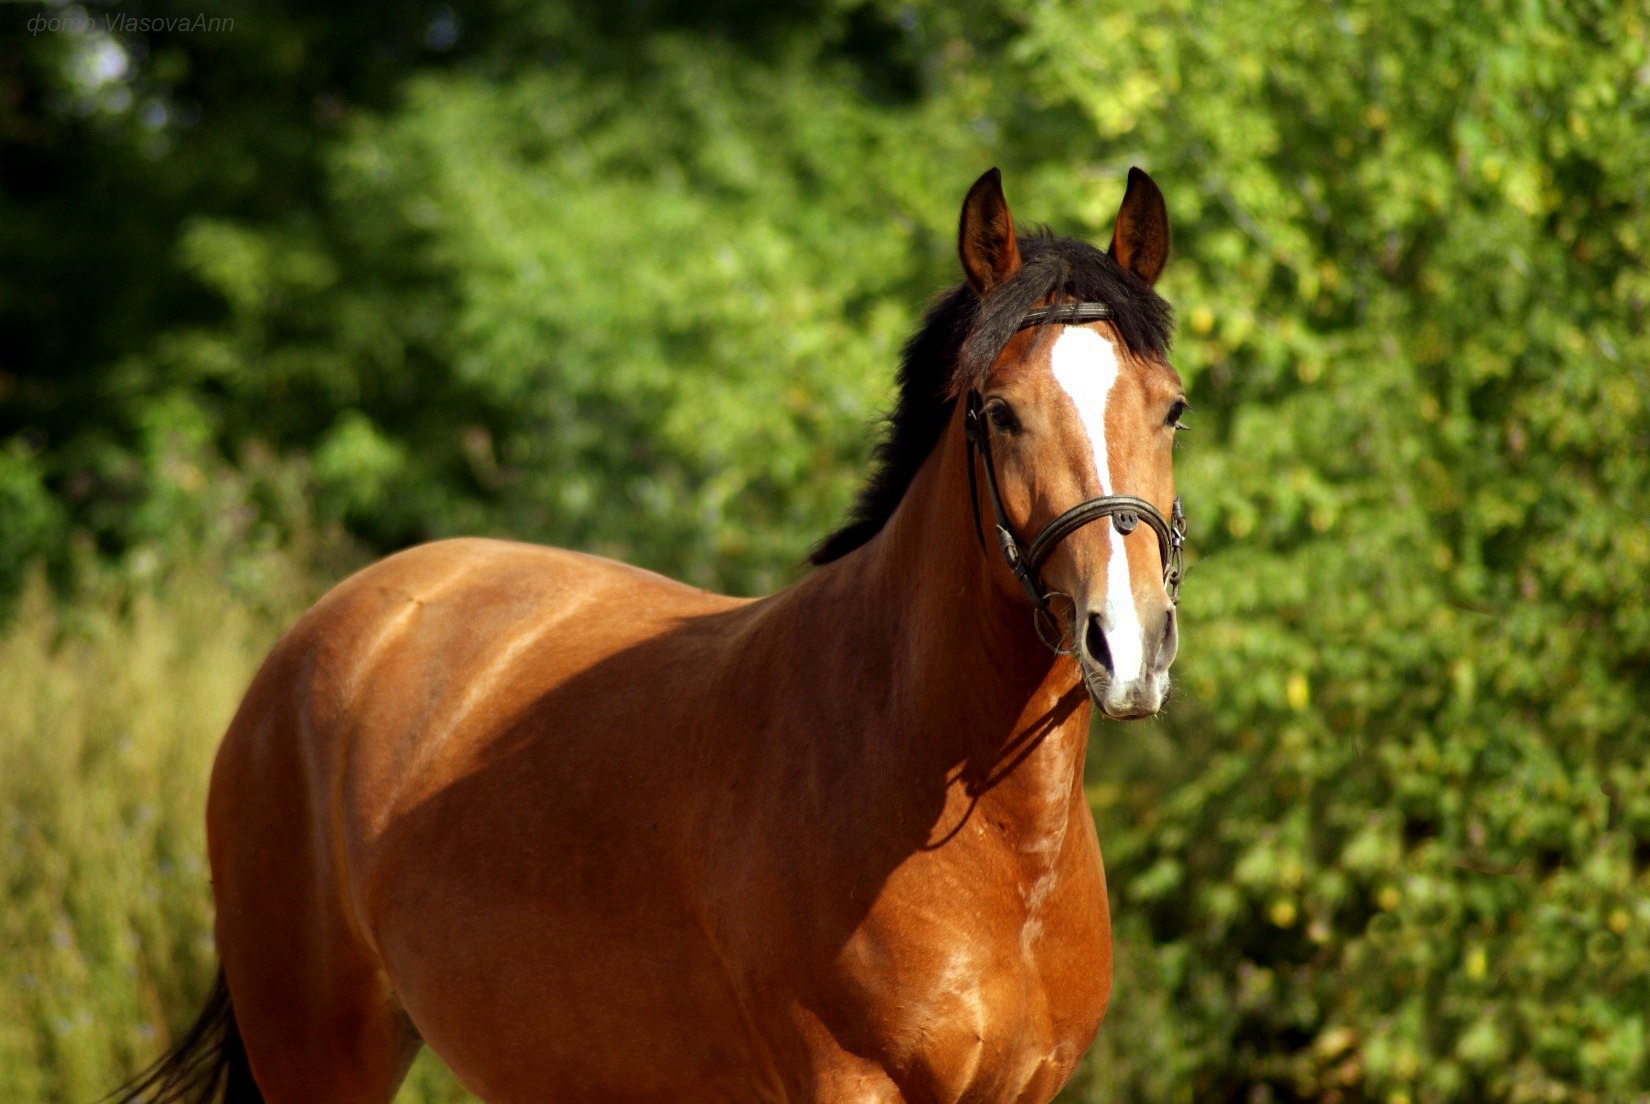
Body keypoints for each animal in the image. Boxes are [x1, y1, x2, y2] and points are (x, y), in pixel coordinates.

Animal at [125, 165, 1188, 1102]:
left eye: (1173, 407)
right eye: (1000, 413)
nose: (1128, 644)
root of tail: (320, 633)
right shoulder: (849, 1081)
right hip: (316, 1054)